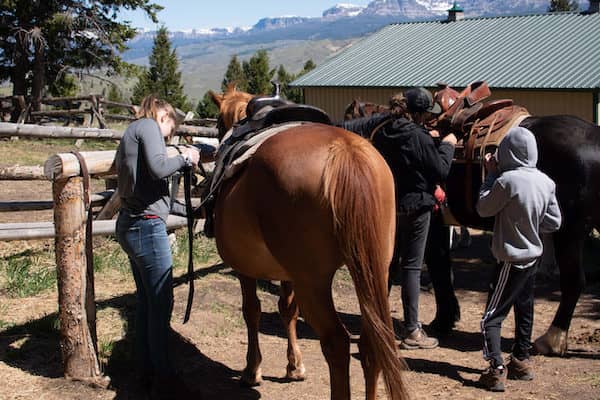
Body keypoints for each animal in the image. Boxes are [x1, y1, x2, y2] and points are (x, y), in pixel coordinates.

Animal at [207, 85, 408, 400]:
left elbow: (251, 311)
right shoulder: (286, 273)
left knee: (337, 343)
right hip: (374, 270)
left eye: (217, 122)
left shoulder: (246, 268)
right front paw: (294, 366)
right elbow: (287, 310)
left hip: (313, 282)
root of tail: (344, 152)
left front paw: (252, 371)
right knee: (371, 343)